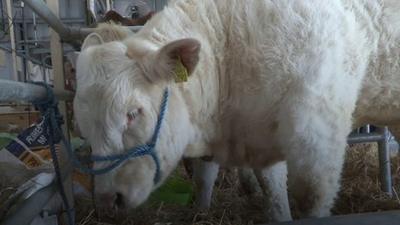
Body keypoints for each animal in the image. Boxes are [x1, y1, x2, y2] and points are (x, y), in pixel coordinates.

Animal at [74, 0, 400, 221]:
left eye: (133, 113)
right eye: (84, 128)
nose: (107, 200)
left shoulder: (317, 134)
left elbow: (310, 198)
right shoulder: (261, 136)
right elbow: (268, 192)